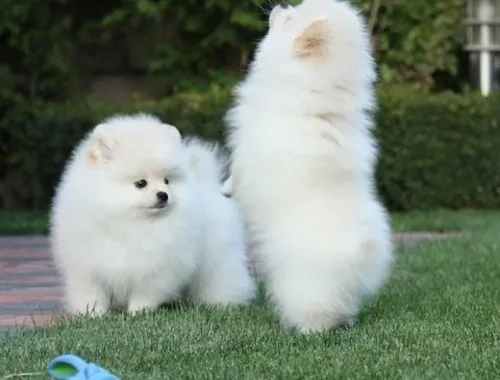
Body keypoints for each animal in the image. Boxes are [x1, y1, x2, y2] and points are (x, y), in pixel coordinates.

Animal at [49, 114, 254, 316]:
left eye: (166, 181)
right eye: (141, 183)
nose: (163, 195)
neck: (128, 223)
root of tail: (208, 183)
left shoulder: (156, 270)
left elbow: (144, 293)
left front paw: (138, 312)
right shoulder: (86, 268)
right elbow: (92, 293)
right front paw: (92, 314)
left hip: (218, 259)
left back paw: (220, 303)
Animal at [225, 0, 392, 332]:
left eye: (290, 18)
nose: (278, 6)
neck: (316, 97)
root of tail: (361, 247)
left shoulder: (249, 146)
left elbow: (236, 169)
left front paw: (226, 188)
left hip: (306, 284)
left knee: (314, 307)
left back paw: (308, 330)